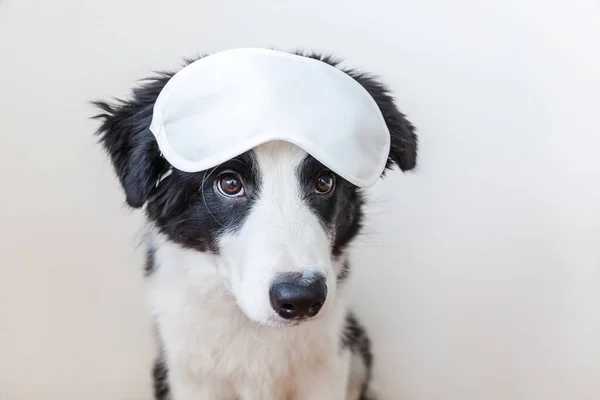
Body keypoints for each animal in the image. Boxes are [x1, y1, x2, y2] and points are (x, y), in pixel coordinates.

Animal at [91, 50, 418, 400]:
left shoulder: (329, 366)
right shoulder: (188, 375)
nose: (301, 299)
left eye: (325, 182)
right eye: (229, 183)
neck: (251, 325)